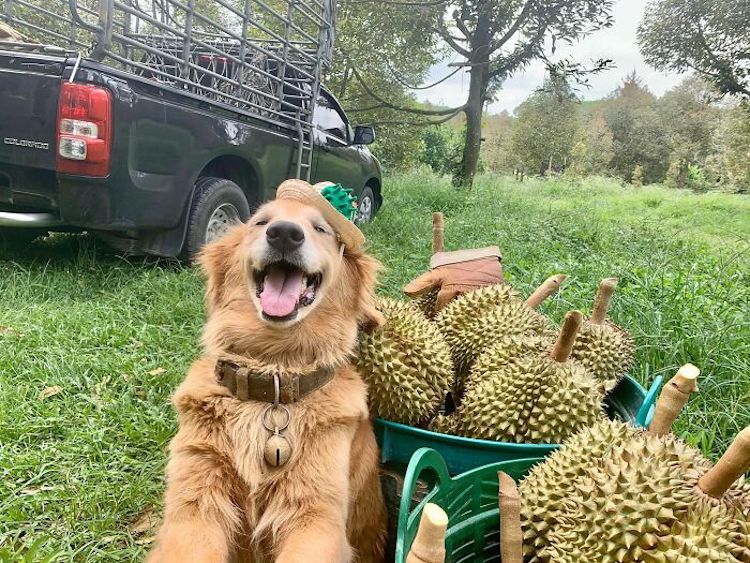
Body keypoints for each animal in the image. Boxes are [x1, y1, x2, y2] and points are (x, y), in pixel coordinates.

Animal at [151, 184, 390, 560]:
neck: (273, 375)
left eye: (321, 228)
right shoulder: (195, 499)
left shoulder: (315, 514)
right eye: (261, 222)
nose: (284, 234)